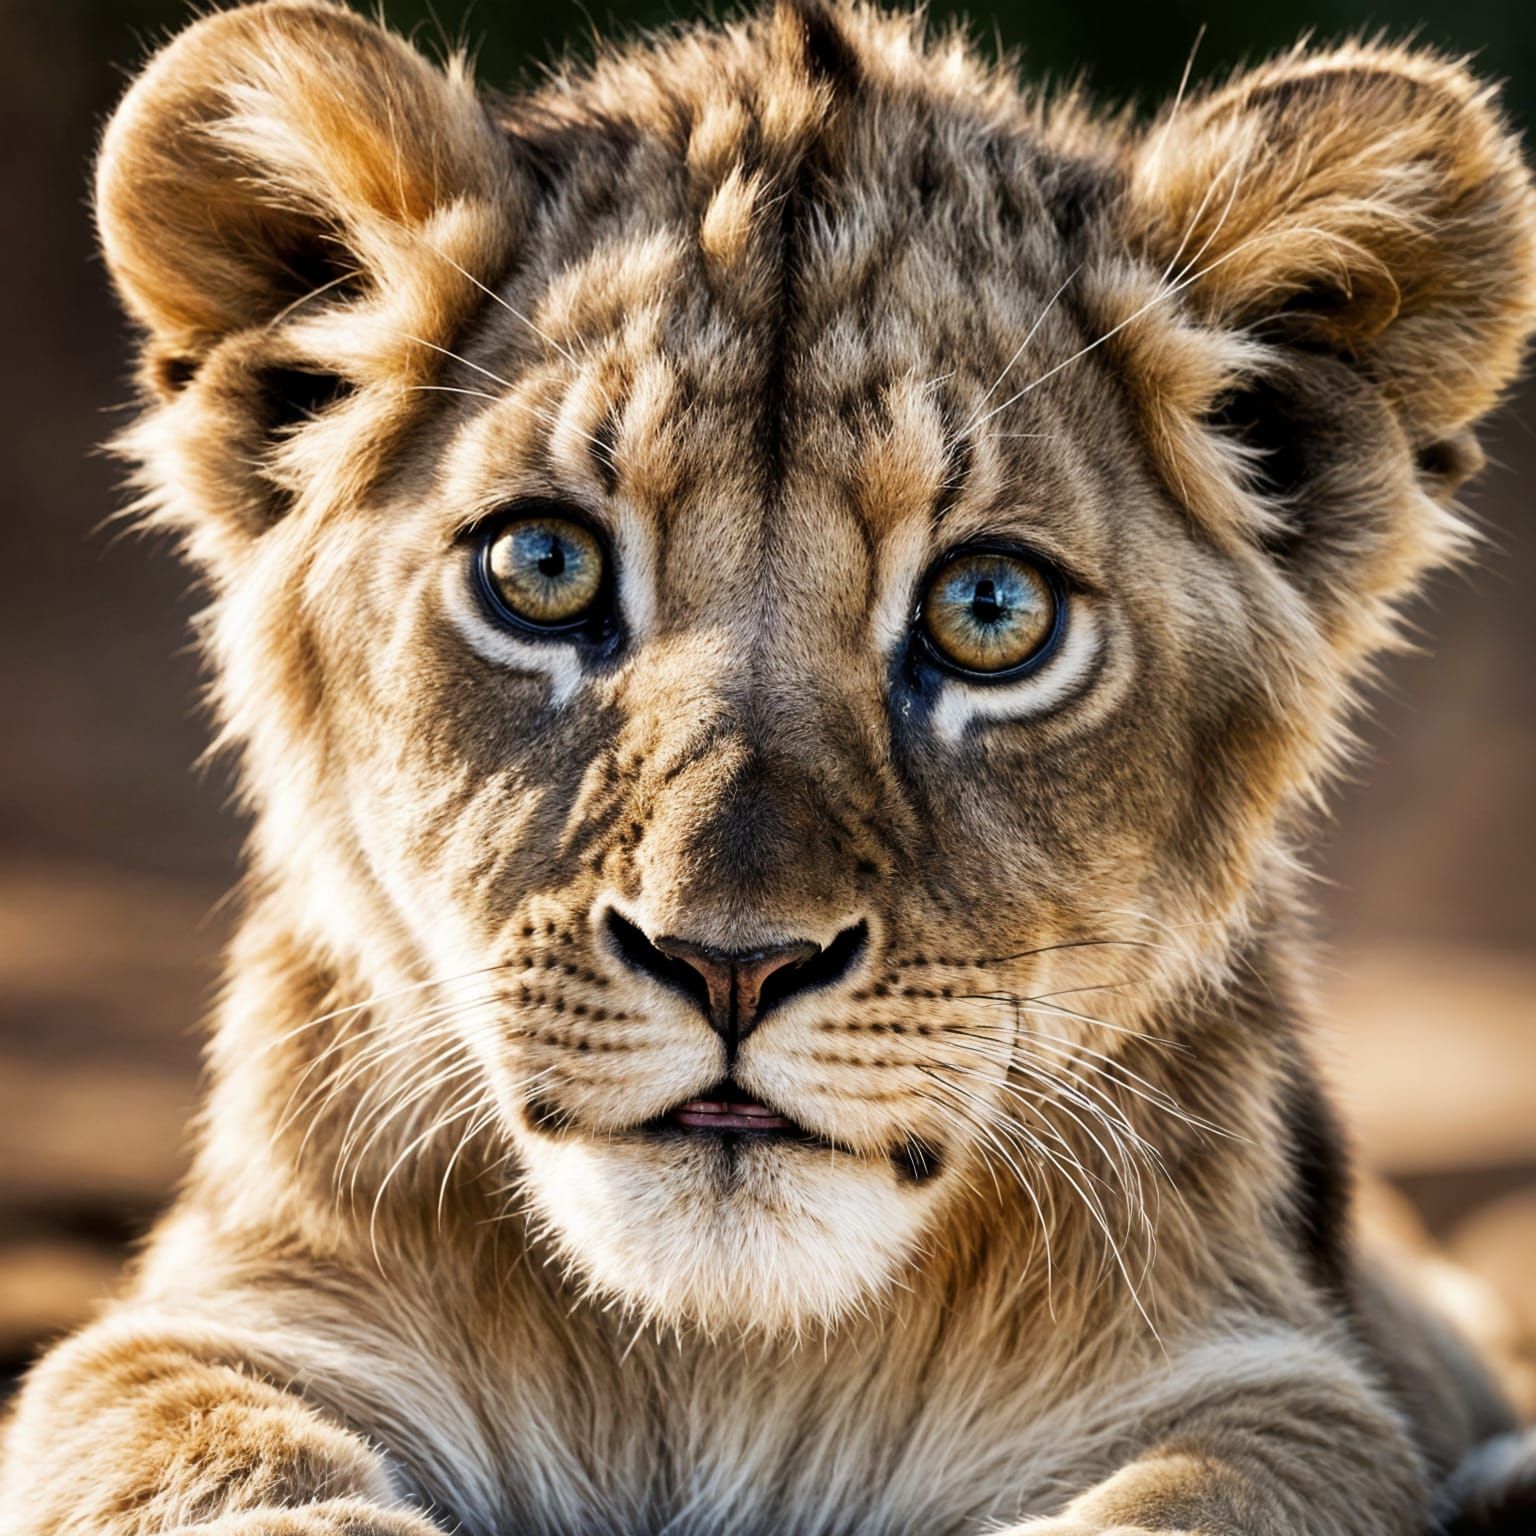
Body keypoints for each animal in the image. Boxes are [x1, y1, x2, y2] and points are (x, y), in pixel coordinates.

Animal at [3, 1, 1534, 1531]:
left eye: (990, 610)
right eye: (542, 568)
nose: (730, 964)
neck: (724, 1357)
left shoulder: (1275, 1377)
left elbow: (1212, 1489)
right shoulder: (212, 1322)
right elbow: (196, 1456)